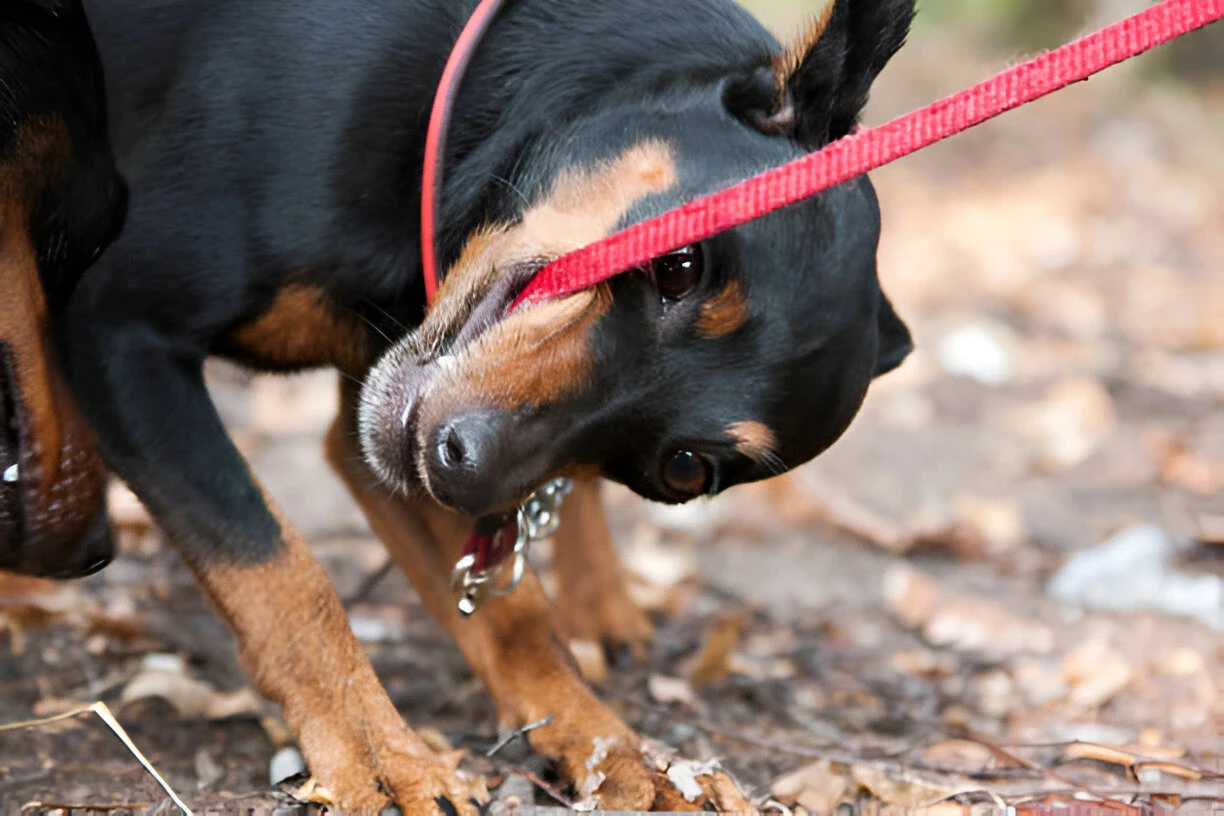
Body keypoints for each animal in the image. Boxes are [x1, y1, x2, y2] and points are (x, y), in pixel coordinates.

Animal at [67, 0, 915, 812]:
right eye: (679, 265)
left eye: (684, 470)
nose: (460, 466)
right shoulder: (115, 333)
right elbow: (280, 572)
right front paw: (380, 759)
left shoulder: (380, 434)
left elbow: (516, 614)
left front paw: (614, 747)